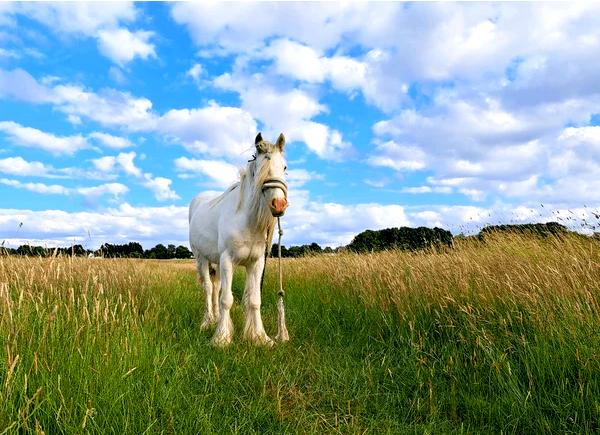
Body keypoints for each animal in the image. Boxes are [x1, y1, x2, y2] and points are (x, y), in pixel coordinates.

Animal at [189, 133, 290, 348]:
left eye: (284, 167)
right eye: (260, 168)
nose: (279, 204)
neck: (247, 221)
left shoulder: (256, 263)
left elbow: (254, 300)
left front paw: (260, 337)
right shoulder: (228, 260)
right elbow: (226, 299)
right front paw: (222, 338)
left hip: (216, 262)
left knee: (216, 287)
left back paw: (215, 318)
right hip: (201, 258)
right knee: (208, 288)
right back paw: (207, 322)